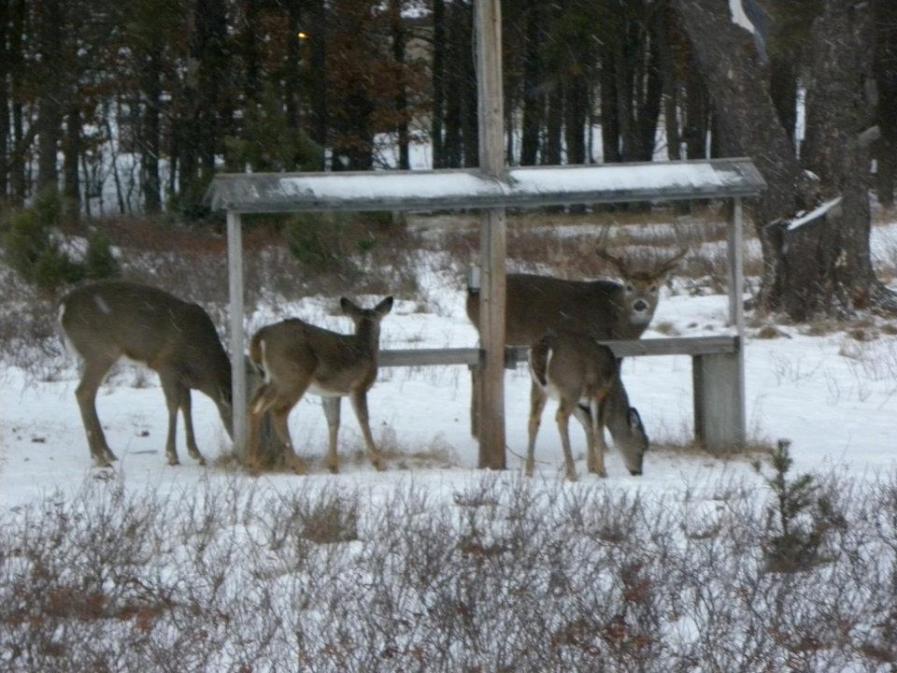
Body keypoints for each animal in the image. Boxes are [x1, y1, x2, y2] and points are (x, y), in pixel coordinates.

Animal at [59, 280, 233, 468]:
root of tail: (63, 307)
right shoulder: (165, 365)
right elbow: (173, 404)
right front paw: (172, 455)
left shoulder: (183, 378)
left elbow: (186, 405)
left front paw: (196, 453)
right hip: (100, 351)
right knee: (83, 392)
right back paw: (99, 457)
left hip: (98, 354)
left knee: (88, 393)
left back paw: (108, 454)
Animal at [528, 330, 648, 478]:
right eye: (642, 447)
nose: (638, 472)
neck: (614, 386)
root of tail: (544, 347)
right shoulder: (600, 392)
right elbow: (598, 428)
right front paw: (602, 471)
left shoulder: (580, 401)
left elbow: (588, 425)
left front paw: (592, 467)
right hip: (571, 386)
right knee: (561, 417)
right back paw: (571, 473)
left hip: (538, 387)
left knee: (534, 419)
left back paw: (528, 471)